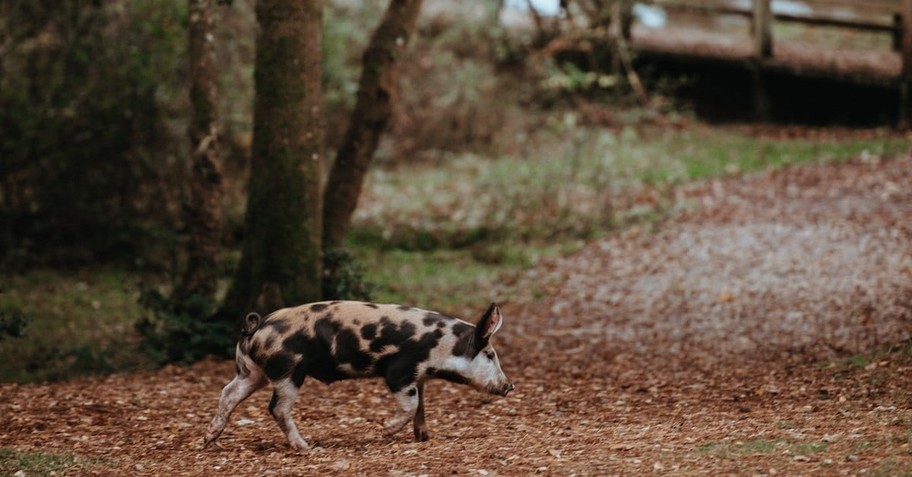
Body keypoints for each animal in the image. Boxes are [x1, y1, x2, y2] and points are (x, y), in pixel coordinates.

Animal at [203, 300, 512, 448]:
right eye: (490, 354)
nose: (510, 386)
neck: (443, 346)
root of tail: (257, 327)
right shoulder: (400, 371)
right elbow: (411, 405)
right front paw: (382, 429)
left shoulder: (418, 377)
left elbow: (421, 406)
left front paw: (424, 437)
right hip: (289, 370)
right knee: (277, 408)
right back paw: (308, 448)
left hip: (251, 371)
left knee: (228, 393)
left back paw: (208, 440)